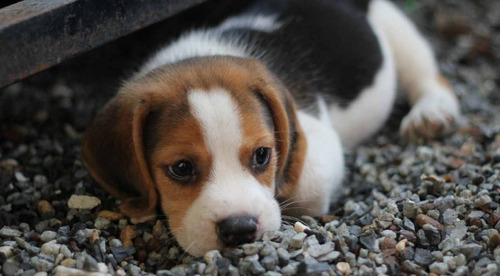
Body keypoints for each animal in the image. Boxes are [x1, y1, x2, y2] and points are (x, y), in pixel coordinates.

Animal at [82, 0, 460, 256]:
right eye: (181, 168)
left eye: (263, 155)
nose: (240, 230)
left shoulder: (318, 140)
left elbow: (303, 183)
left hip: (394, 27)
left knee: (426, 72)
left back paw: (431, 114)